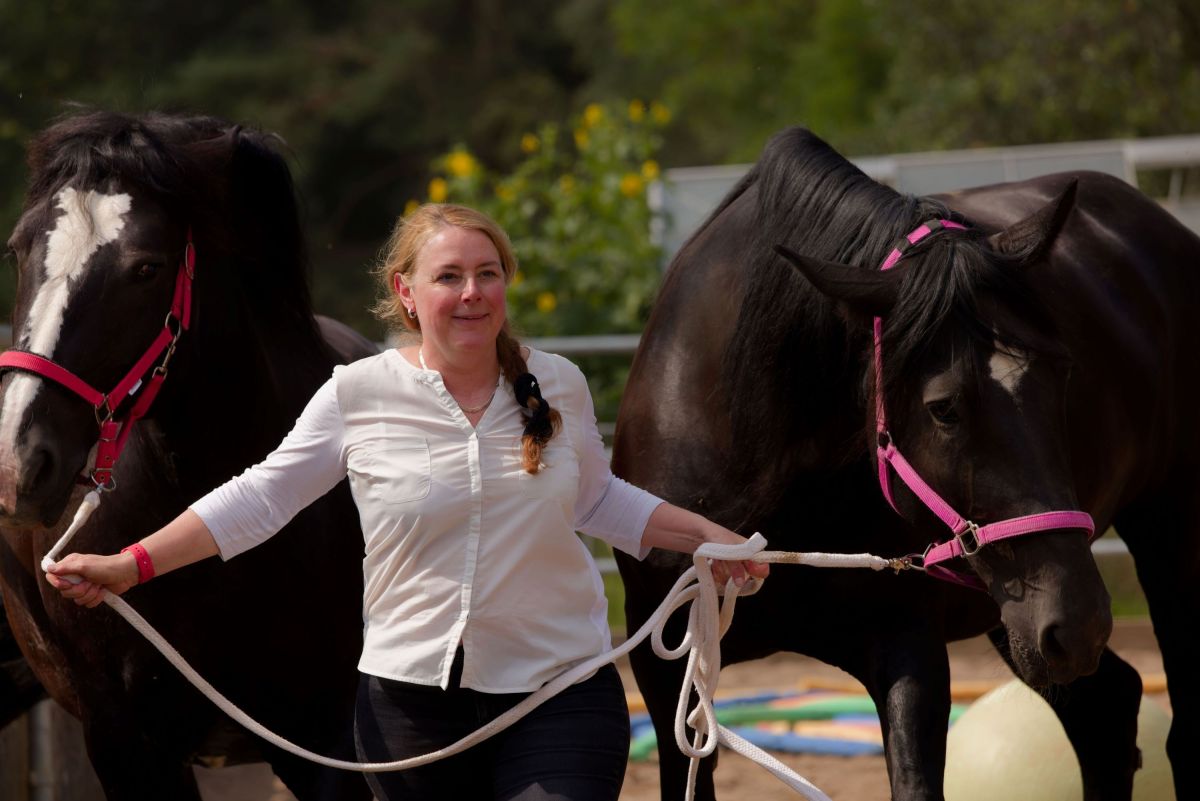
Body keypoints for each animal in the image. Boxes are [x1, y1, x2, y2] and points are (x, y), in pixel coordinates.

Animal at [613, 127, 1198, 801]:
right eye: (944, 407)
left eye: (1065, 376)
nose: (1079, 623)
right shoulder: (666, 674)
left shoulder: (908, 646)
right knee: (1107, 711)